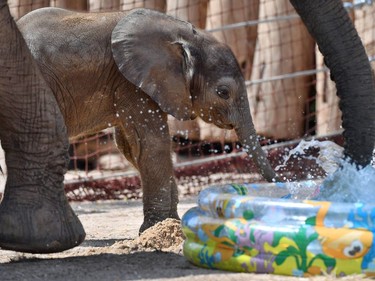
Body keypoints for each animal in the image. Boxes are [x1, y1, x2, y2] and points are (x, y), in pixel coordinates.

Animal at [16, 7, 278, 233]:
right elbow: (151, 144)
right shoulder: (131, 83)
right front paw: (157, 229)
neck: (182, 33)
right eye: (223, 92)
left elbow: (130, 146)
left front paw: (169, 225)